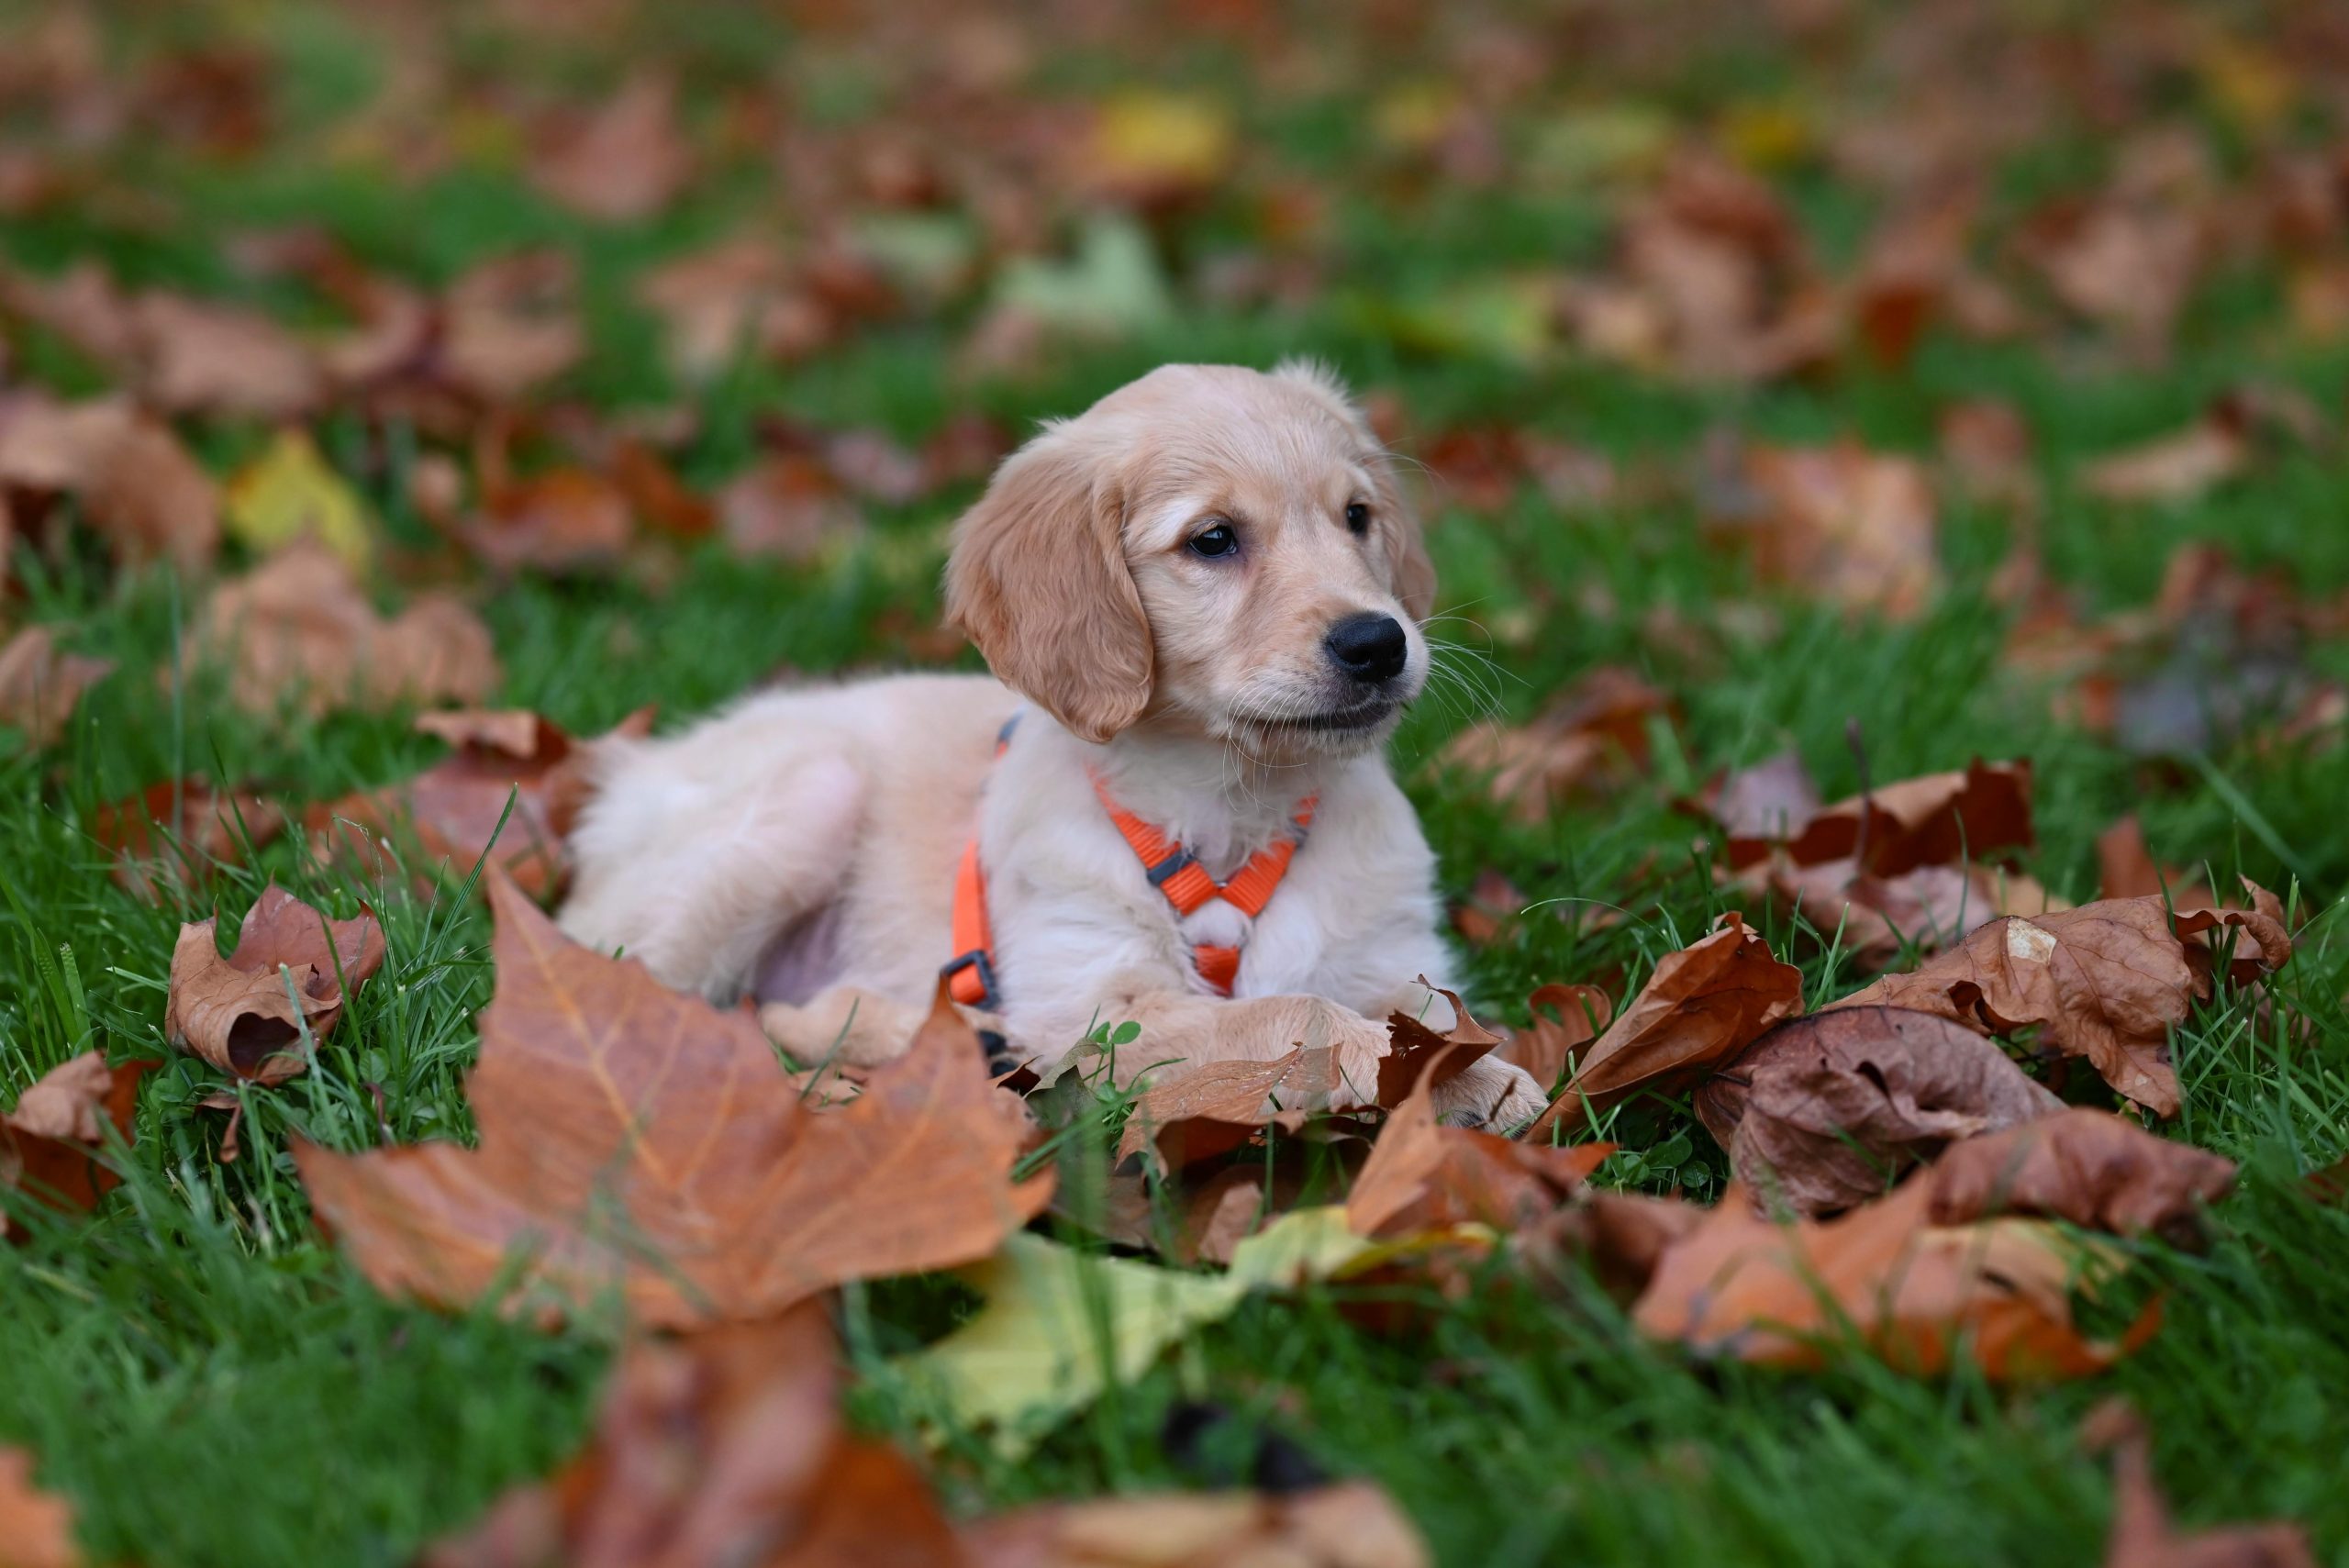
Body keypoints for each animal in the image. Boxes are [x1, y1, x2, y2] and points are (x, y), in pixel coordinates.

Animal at [559, 363, 1550, 1127]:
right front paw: (1445, 1076)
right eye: (1213, 540)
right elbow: (1295, 1011)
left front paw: (1472, 1075)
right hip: (804, 796)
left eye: (1357, 517)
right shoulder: (1097, 1008)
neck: (1231, 802)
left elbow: (1417, 1015)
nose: (1379, 643)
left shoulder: (1391, 956)